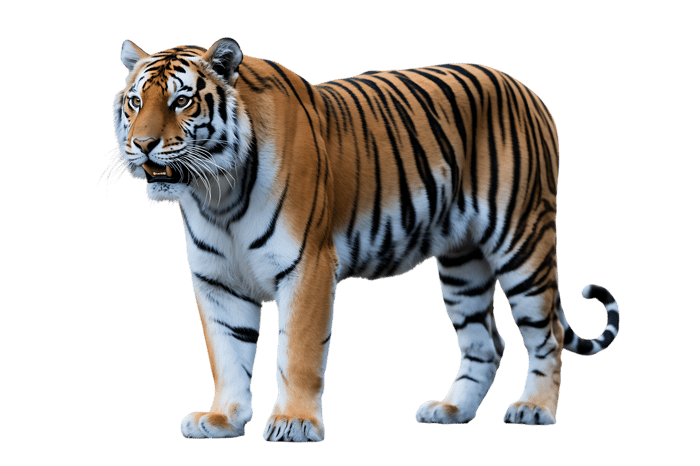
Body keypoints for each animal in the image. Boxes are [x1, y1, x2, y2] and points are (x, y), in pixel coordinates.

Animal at [101, 37, 621, 442]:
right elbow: (227, 354)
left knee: (547, 334)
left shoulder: (307, 265)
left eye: (181, 101)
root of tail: (527, 89)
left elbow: (298, 352)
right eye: (135, 103)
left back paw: (535, 409)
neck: (216, 195)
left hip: (522, 242)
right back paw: (451, 411)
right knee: (485, 343)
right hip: (463, 263)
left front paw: (293, 422)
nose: (142, 145)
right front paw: (222, 419)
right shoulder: (217, 283)